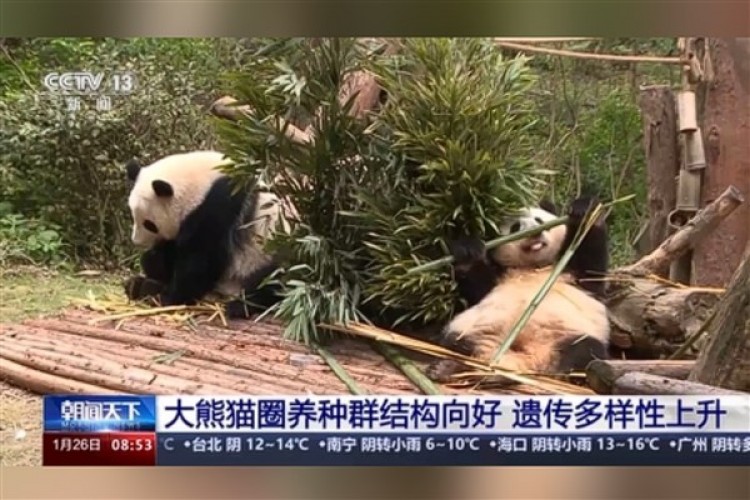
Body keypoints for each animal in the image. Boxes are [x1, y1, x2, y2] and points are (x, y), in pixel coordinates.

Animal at [123, 150, 293, 318]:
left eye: (149, 224)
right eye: (133, 215)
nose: (136, 241)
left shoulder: (219, 207)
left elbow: (201, 260)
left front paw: (170, 297)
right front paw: (151, 262)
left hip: (270, 252)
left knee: (272, 281)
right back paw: (136, 285)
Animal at [426, 196, 611, 382]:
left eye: (539, 220)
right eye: (515, 227)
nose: (535, 232)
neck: (533, 267)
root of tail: (527, 361)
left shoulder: (571, 274)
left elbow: (590, 265)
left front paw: (585, 210)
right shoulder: (498, 277)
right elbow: (478, 285)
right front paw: (467, 250)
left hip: (566, 334)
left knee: (585, 349)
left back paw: (562, 372)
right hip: (474, 330)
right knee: (457, 343)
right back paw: (446, 367)